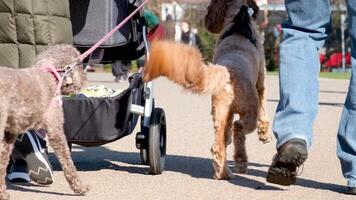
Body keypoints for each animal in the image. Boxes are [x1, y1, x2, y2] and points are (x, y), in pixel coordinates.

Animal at [0, 44, 88, 199]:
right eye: (79, 64)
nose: (84, 79)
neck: (51, 75)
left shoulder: (9, 134)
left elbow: (2, 163)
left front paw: (3, 193)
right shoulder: (55, 127)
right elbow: (67, 161)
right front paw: (79, 187)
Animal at [143, 0, 272, 180]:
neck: (238, 20)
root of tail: (226, 73)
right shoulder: (261, 84)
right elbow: (264, 113)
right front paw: (265, 134)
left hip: (220, 113)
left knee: (218, 146)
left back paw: (224, 173)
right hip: (248, 111)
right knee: (238, 128)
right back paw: (240, 161)